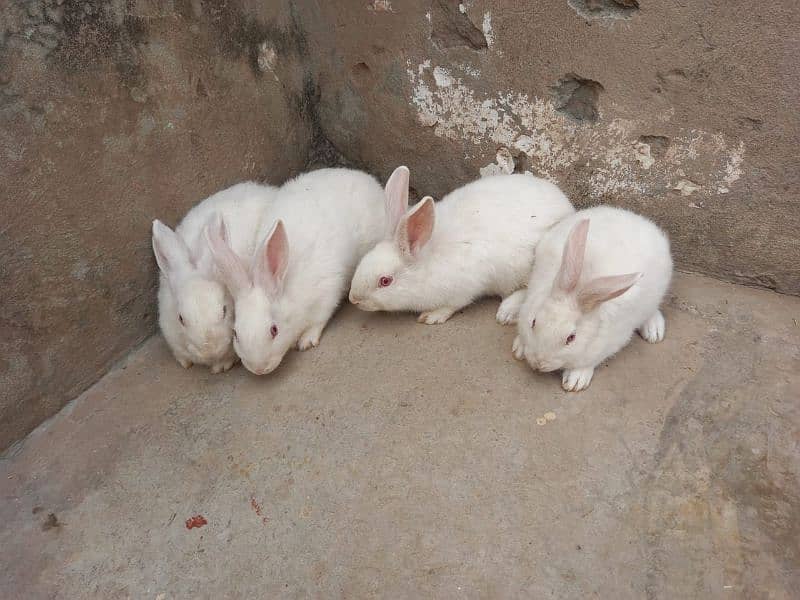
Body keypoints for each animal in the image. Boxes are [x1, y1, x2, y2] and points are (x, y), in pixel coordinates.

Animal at [205, 169, 382, 376]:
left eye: (274, 330)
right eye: (235, 334)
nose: (259, 369)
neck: (284, 288)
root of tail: (362, 176)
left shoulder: (325, 294)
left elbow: (319, 320)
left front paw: (306, 341)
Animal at [350, 166, 576, 326]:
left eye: (385, 281)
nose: (354, 300)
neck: (426, 261)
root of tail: (567, 207)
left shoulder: (464, 288)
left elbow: (453, 305)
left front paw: (431, 316)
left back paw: (506, 312)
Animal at [510, 206, 672, 394]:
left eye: (571, 338)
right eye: (534, 322)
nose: (538, 363)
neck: (579, 288)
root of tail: (633, 217)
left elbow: (587, 364)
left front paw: (576, 380)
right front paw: (520, 347)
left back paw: (654, 331)